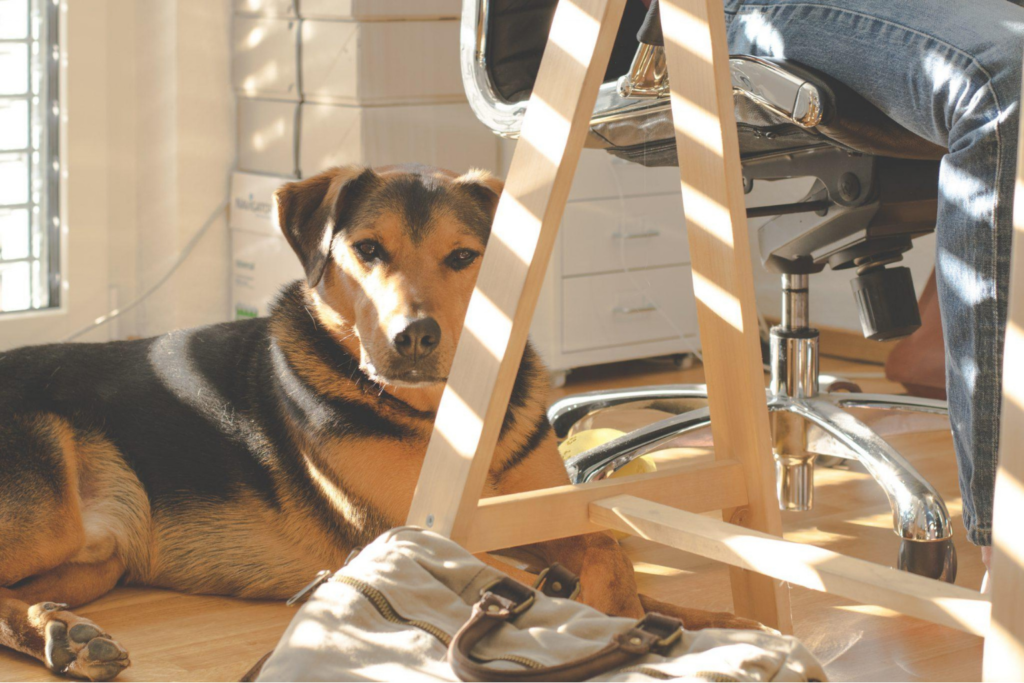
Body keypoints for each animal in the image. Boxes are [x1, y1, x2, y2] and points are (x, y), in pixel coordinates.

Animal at [0, 166, 761, 683]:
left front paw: (706, 621)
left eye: (464, 256)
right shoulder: (408, 537)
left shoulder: (542, 514)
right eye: (367, 249)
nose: (414, 337)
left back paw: (64, 636)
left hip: (95, 558)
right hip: (49, 520)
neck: (444, 413)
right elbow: (592, 567)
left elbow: (610, 546)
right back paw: (63, 638)